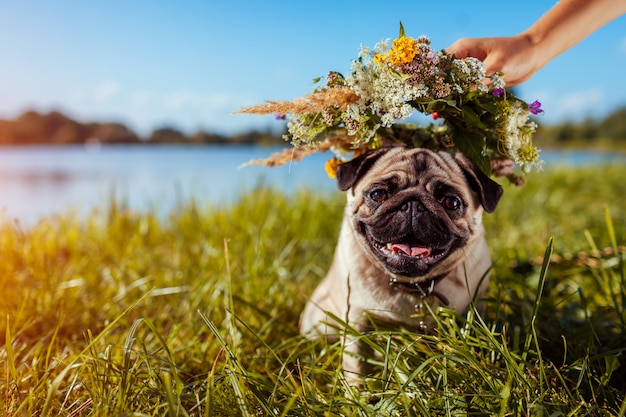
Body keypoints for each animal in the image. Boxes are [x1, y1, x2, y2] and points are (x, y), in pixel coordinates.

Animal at [298, 147, 502, 380]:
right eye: (378, 194)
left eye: (451, 202)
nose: (413, 204)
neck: (413, 285)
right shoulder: (357, 317)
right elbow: (356, 362)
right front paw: (357, 388)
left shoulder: (474, 309)